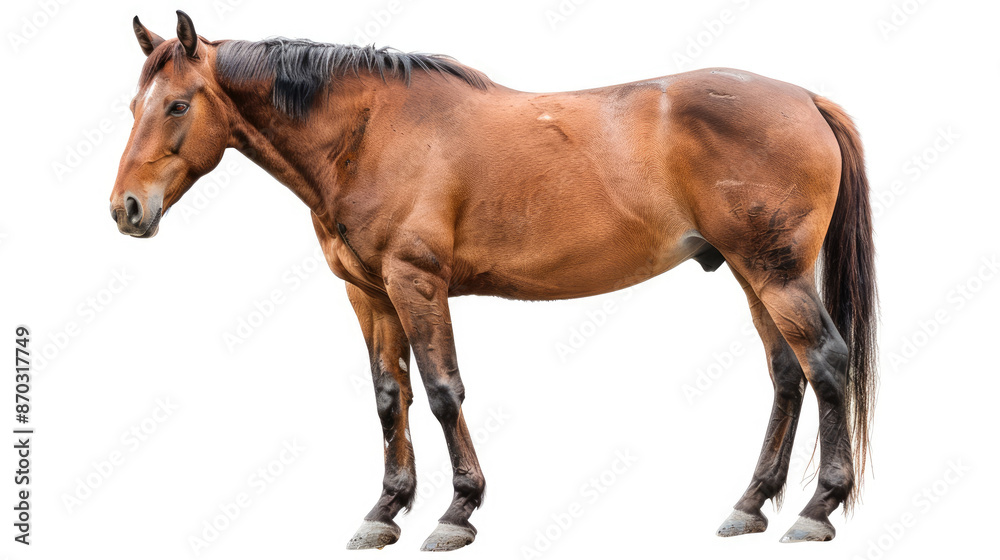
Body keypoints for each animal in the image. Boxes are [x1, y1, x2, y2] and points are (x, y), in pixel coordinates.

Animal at [111, 11, 877, 551]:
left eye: (178, 105)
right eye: (132, 106)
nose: (126, 210)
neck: (370, 133)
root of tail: (806, 99)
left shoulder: (416, 283)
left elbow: (442, 392)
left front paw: (456, 512)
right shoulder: (370, 294)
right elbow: (389, 398)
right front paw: (384, 511)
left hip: (776, 274)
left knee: (826, 362)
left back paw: (817, 509)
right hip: (752, 275)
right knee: (787, 373)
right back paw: (750, 505)